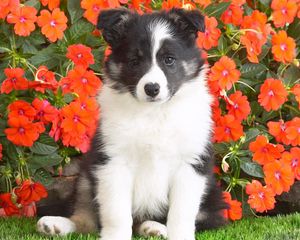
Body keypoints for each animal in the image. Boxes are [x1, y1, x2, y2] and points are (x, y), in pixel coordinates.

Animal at [36, 7, 226, 240]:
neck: (154, 113)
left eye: (169, 59)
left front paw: (177, 234)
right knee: (85, 218)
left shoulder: (190, 164)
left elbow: (181, 214)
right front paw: (115, 236)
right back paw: (54, 225)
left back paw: (154, 228)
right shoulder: (113, 161)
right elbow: (116, 213)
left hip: (212, 197)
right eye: (134, 61)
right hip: (86, 175)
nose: (152, 88)